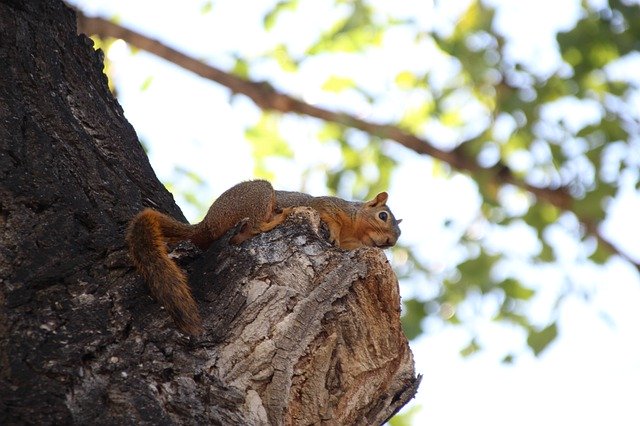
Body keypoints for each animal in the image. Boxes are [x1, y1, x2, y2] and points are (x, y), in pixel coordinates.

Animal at [127, 178, 402, 334]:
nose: (390, 242)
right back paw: (277, 217)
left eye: (398, 236)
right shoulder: (326, 206)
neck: (354, 231)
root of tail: (205, 224)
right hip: (259, 194)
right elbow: (327, 216)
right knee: (256, 225)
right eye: (383, 216)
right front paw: (332, 232)